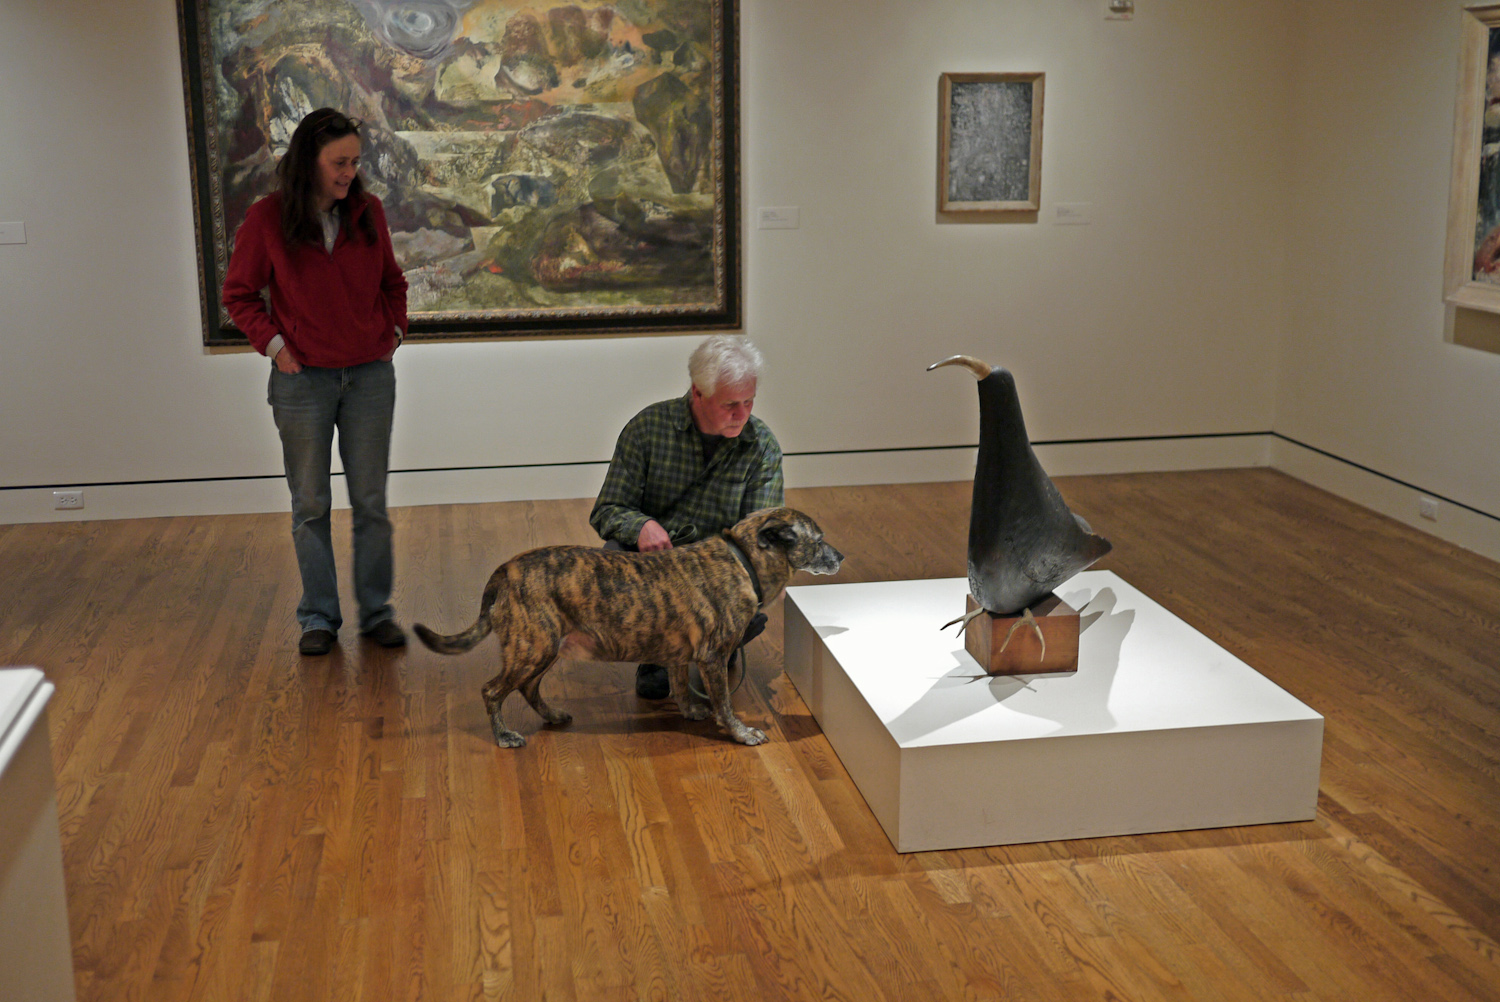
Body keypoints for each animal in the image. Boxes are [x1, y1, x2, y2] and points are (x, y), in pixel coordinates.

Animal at [411, 510, 846, 744]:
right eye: (818, 539)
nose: (841, 556)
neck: (744, 560)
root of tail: (505, 570)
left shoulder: (681, 654)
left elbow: (679, 685)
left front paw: (690, 710)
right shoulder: (713, 656)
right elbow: (723, 702)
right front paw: (741, 733)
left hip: (541, 650)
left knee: (528, 689)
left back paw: (552, 715)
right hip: (532, 648)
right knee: (493, 691)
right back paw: (503, 736)